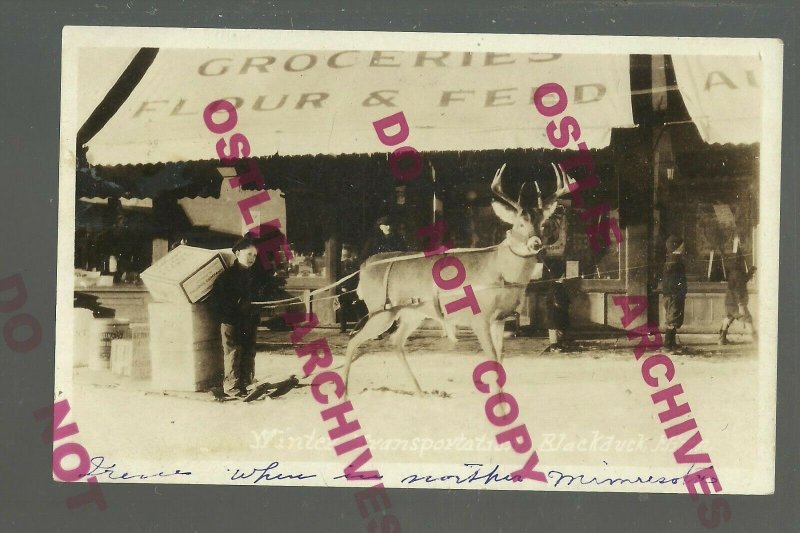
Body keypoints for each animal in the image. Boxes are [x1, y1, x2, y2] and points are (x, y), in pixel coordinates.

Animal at [340, 163, 572, 394]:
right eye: (519, 225)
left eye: (542, 223)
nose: (536, 243)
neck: (502, 272)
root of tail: (365, 266)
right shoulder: (479, 317)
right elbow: (492, 359)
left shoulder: (500, 318)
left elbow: (500, 359)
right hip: (379, 310)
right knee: (353, 340)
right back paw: (345, 392)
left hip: (411, 313)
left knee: (395, 341)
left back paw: (420, 391)